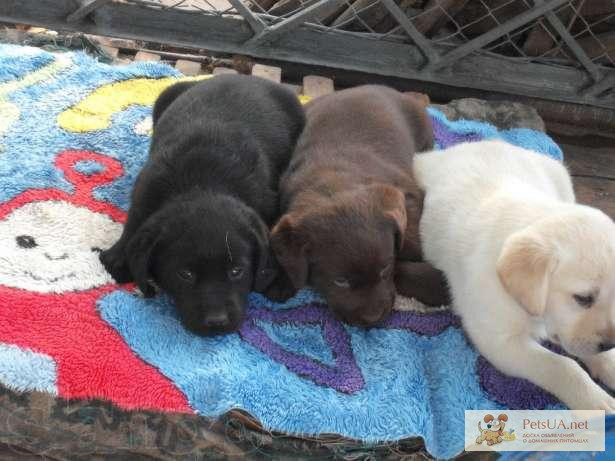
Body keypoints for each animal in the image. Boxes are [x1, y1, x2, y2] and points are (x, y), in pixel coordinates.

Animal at [100, 75, 306, 334]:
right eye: (185, 274)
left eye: (236, 271)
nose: (217, 322)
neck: (203, 183)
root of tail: (244, 76)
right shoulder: (145, 191)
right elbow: (133, 223)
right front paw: (117, 259)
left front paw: (281, 279)